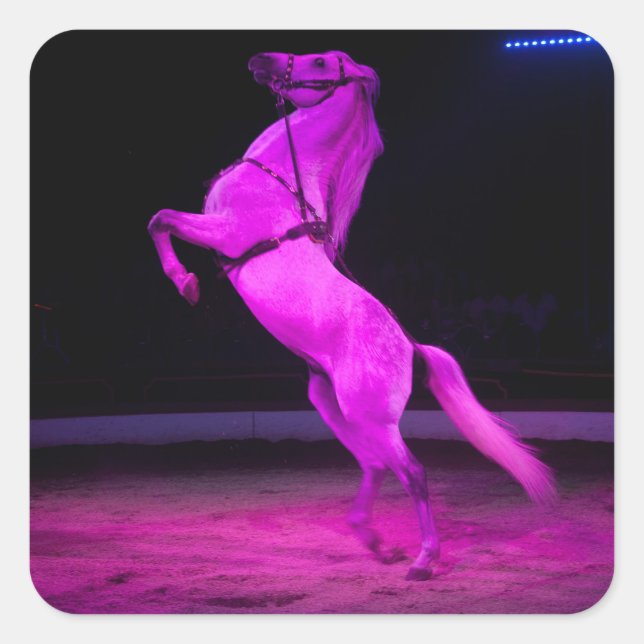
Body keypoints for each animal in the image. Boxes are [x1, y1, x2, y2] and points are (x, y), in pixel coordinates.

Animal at [147, 50, 556, 581]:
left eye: (320, 62)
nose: (262, 60)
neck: (276, 178)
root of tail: (410, 346)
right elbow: (161, 221)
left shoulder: (223, 231)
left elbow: (160, 220)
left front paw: (187, 284)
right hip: (333, 404)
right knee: (376, 466)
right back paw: (376, 542)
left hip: (371, 415)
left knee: (412, 471)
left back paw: (423, 559)